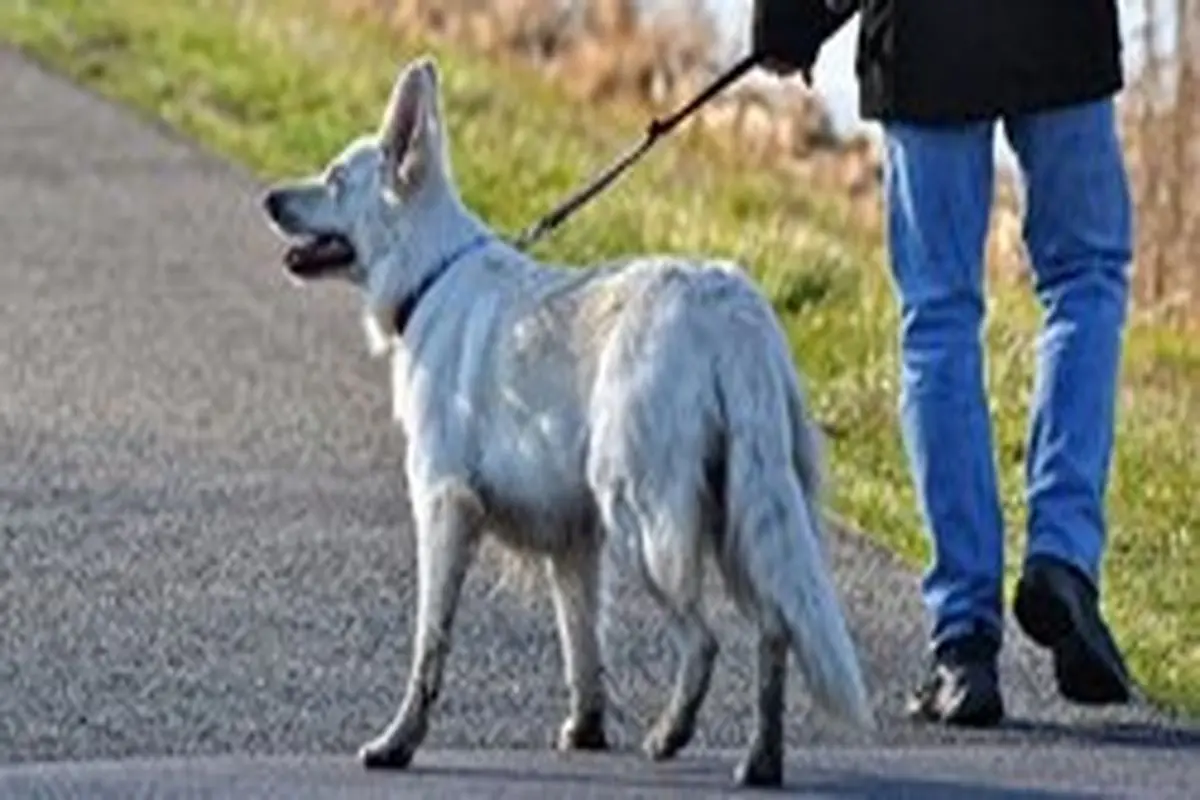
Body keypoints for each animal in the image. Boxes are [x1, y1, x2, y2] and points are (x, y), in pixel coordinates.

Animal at [260, 56, 873, 786]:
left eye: (332, 178)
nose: (268, 200)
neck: (430, 274)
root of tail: (730, 307)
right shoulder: (574, 542)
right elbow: (582, 647)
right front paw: (587, 730)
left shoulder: (444, 508)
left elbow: (429, 645)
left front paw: (398, 742)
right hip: (745, 513)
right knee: (775, 629)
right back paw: (761, 759)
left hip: (642, 519)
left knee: (705, 639)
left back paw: (672, 733)